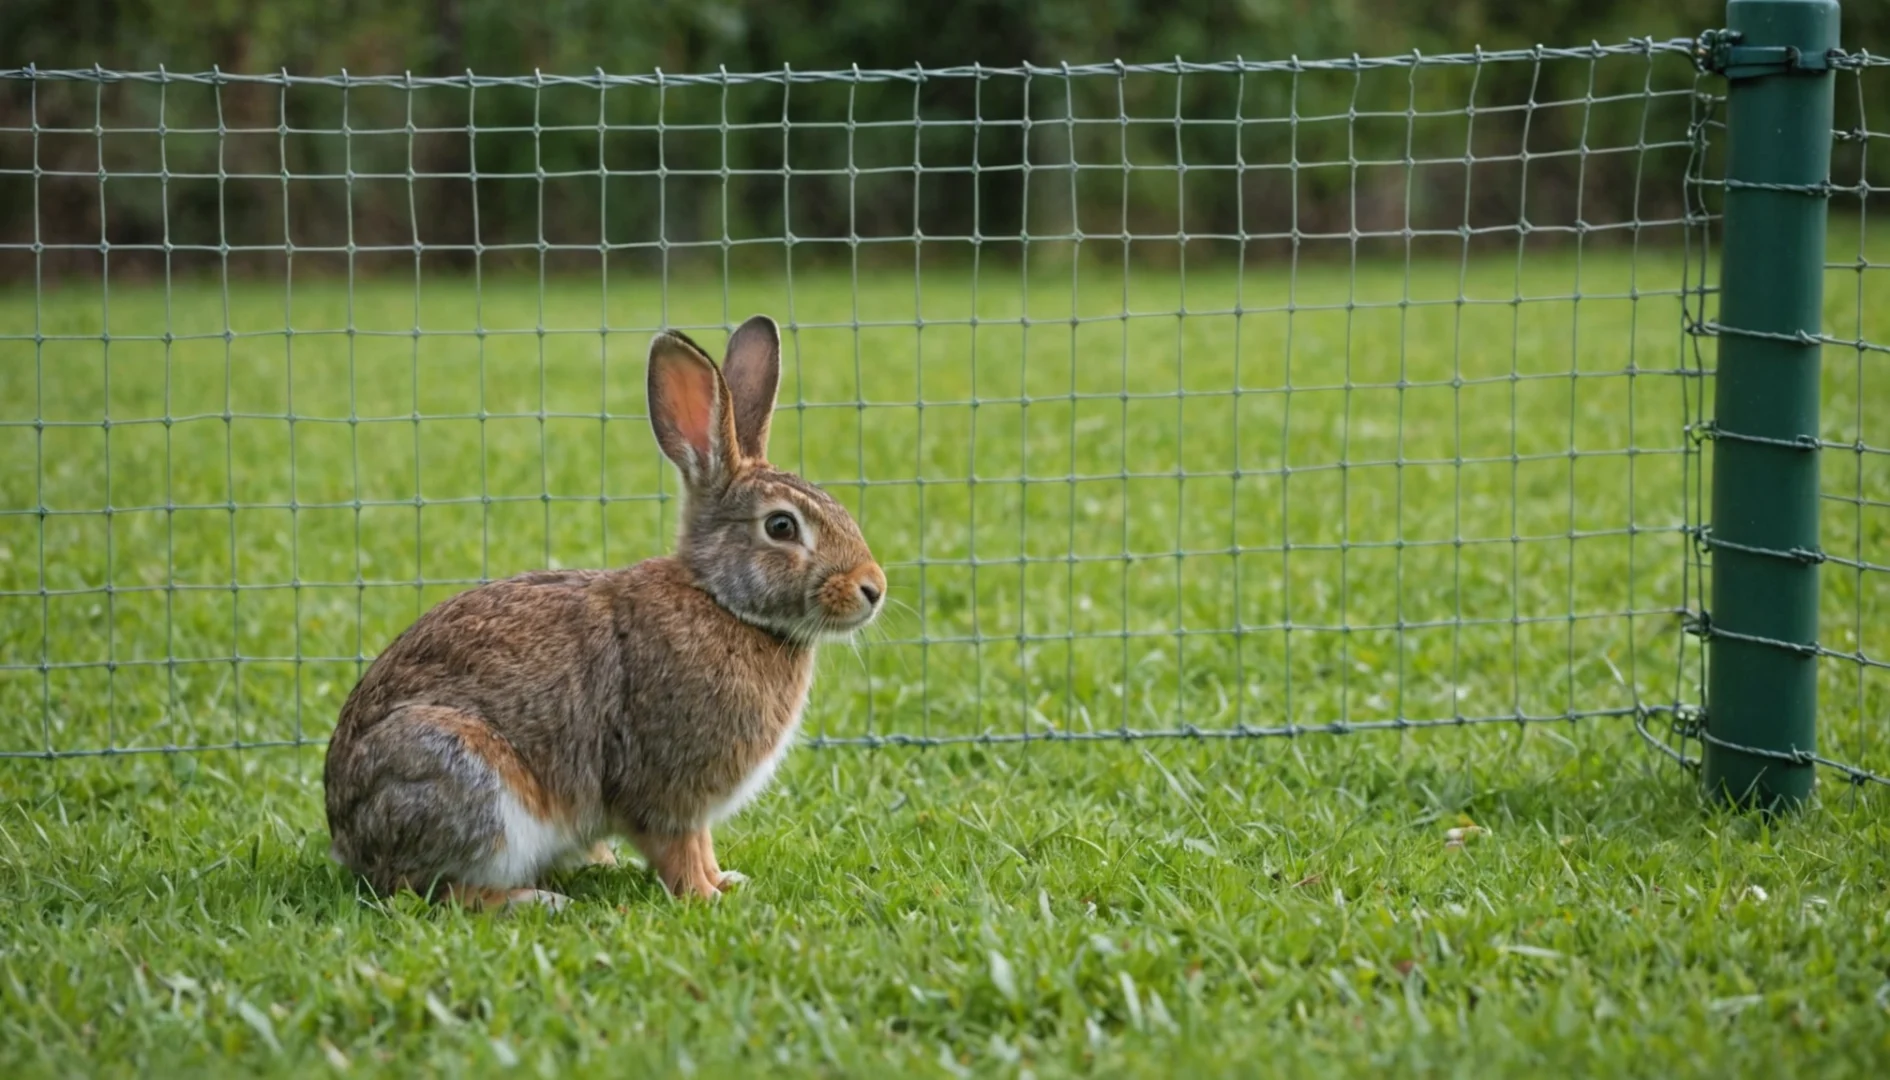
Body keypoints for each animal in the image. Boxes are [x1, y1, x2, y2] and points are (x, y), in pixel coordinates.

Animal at [322, 314, 885, 911]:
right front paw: (704, 897)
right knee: (425, 890)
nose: (874, 588)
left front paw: (727, 881)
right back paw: (536, 900)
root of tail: (347, 835)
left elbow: (704, 844)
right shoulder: (665, 789)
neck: (722, 602)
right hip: (466, 781)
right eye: (781, 527)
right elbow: (678, 848)